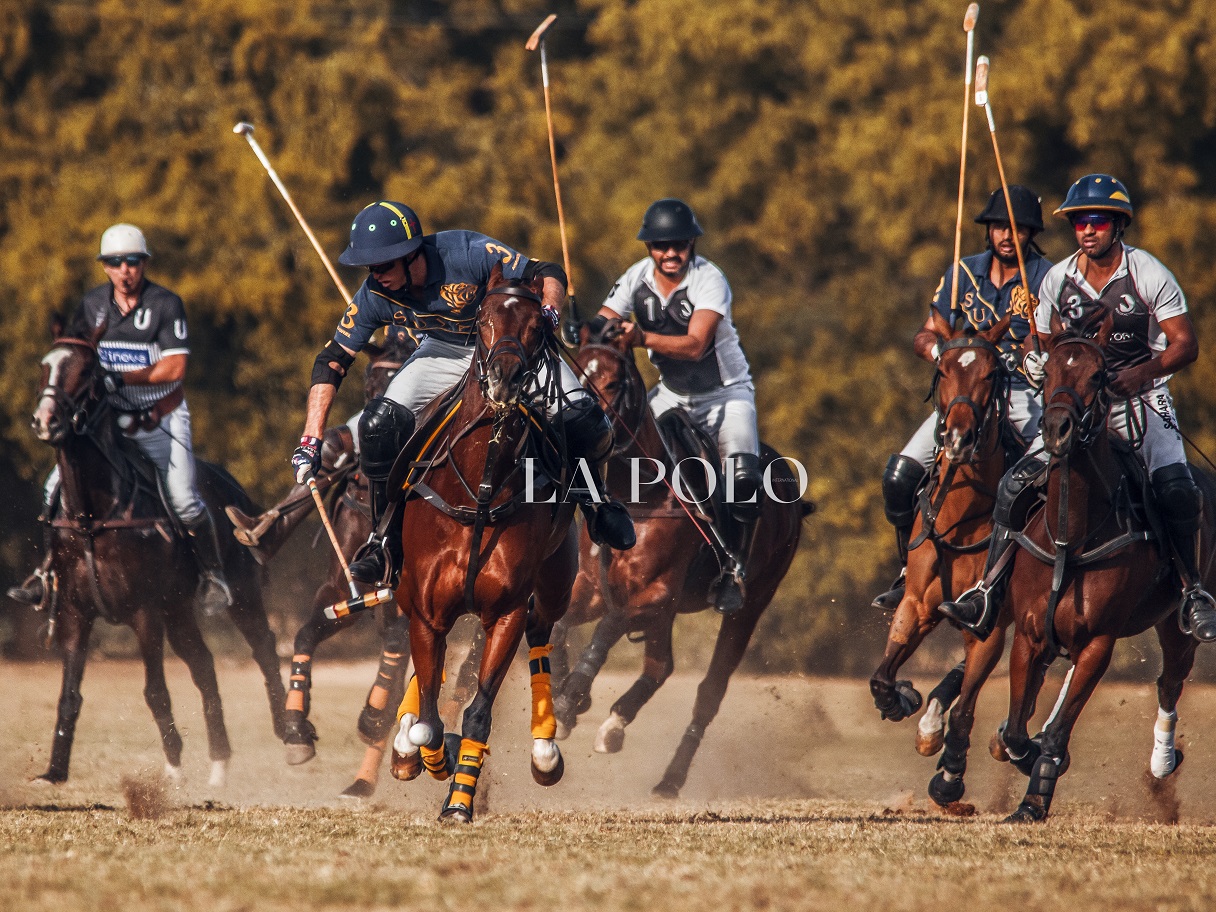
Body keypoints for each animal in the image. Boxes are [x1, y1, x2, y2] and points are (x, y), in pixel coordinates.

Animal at [30, 318, 284, 787]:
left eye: (87, 372)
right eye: (46, 366)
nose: (45, 420)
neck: (92, 514)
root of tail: (233, 486)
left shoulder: (143, 611)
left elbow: (155, 691)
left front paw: (173, 768)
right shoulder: (76, 613)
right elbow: (69, 694)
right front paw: (54, 771)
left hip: (239, 593)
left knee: (264, 646)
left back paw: (293, 734)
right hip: (178, 608)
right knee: (203, 665)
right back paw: (219, 762)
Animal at [386, 269, 581, 822]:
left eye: (539, 325)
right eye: (485, 318)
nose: (506, 378)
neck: (480, 486)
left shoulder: (505, 612)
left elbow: (477, 715)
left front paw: (459, 800)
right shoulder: (427, 610)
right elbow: (430, 718)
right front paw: (427, 755)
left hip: (557, 580)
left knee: (541, 628)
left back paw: (544, 751)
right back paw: (404, 749)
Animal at [549, 321, 807, 797]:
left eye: (613, 382)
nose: (581, 436)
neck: (638, 496)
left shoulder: (654, 594)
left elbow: (607, 629)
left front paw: (572, 697)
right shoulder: (592, 588)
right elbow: (559, 628)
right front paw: (567, 695)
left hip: (750, 604)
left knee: (710, 691)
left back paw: (670, 780)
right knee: (661, 665)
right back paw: (615, 724)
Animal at [865, 313, 1016, 807]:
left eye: (991, 373)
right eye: (944, 369)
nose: (958, 438)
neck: (962, 518)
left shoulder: (989, 622)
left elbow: (967, 708)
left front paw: (949, 779)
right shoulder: (917, 604)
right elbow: (882, 678)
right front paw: (905, 699)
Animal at [992, 313, 1211, 822]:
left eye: (1098, 376)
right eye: (1049, 372)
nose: (1057, 429)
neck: (1069, 535)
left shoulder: (1099, 641)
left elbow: (1056, 731)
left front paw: (1035, 796)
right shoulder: (1030, 634)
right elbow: (1015, 730)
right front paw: (1031, 760)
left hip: (1178, 623)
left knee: (1170, 680)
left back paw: (1163, 761)